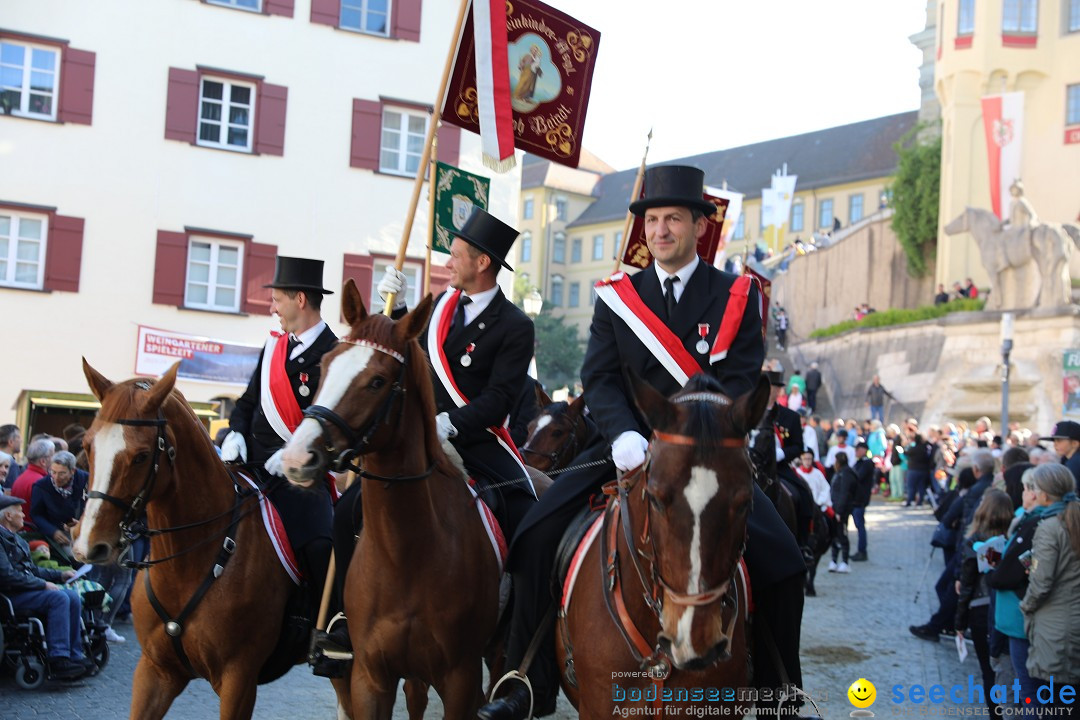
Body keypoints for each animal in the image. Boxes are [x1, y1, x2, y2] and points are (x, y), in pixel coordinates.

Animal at [72, 362, 349, 716]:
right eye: (87, 446)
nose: (88, 544)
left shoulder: (238, 681)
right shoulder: (155, 672)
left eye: (141, 456)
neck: (188, 564)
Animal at [276, 280, 498, 720]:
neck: (407, 553)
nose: (297, 458)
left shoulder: (460, 680)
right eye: (325, 365)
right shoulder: (369, 677)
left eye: (377, 381)